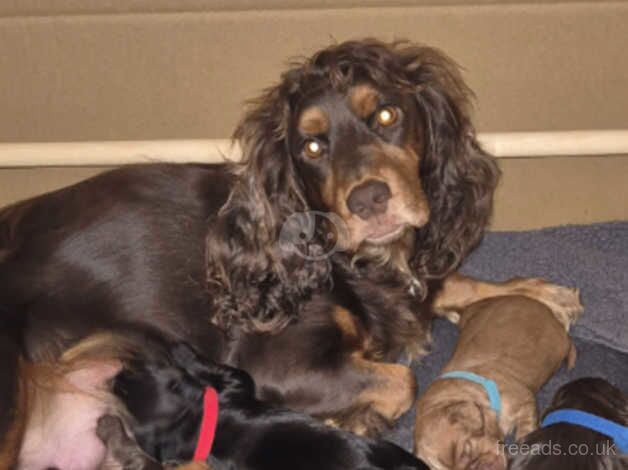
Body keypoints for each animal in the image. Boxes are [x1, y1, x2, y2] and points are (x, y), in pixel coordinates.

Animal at [111, 342, 426, 470]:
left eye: (129, 379)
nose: (114, 377)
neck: (193, 420)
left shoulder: (235, 385)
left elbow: (220, 368)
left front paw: (182, 351)